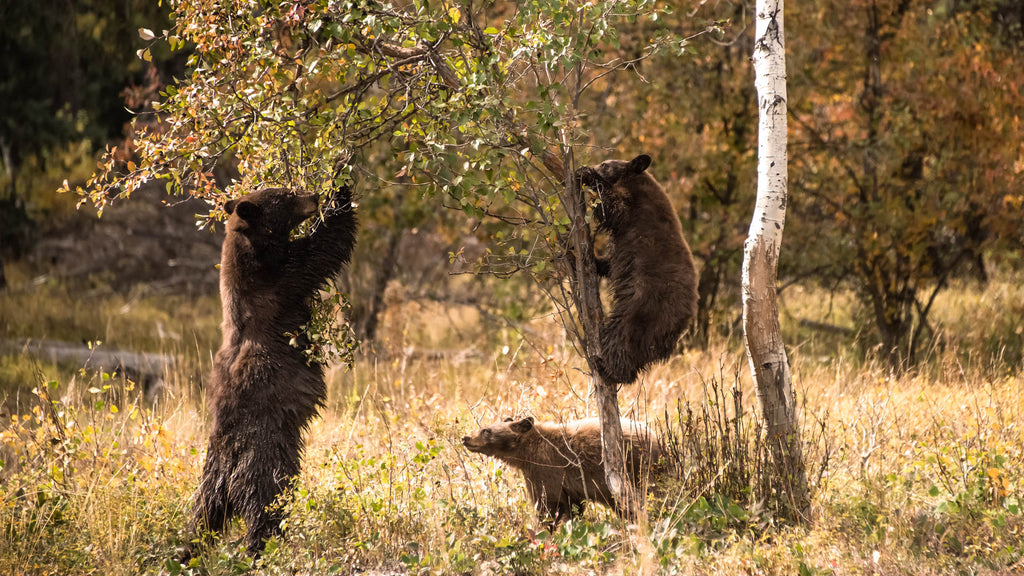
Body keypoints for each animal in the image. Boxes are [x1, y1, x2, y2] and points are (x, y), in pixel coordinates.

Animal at [187, 184, 357, 556]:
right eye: (287, 195)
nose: (314, 197)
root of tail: (229, 466)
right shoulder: (282, 281)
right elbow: (324, 248)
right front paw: (342, 187)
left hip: (210, 473)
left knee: (203, 512)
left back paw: (187, 547)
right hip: (265, 456)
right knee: (264, 503)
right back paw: (260, 547)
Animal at [462, 416, 664, 525]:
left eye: (486, 430)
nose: (465, 438)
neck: (527, 452)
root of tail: (657, 439)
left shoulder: (545, 471)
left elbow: (548, 505)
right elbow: (573, 506)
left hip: (637, 469)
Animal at [575, 154, 699, 385]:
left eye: (605, 164)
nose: (593, 165)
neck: (635, 181)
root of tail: (683, 321)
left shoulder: (635, 208)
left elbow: (610, 207)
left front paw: (586, 175)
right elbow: (609, 264)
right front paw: (588, 258)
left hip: (641, 308)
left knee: (620, 337)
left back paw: (606, 367)